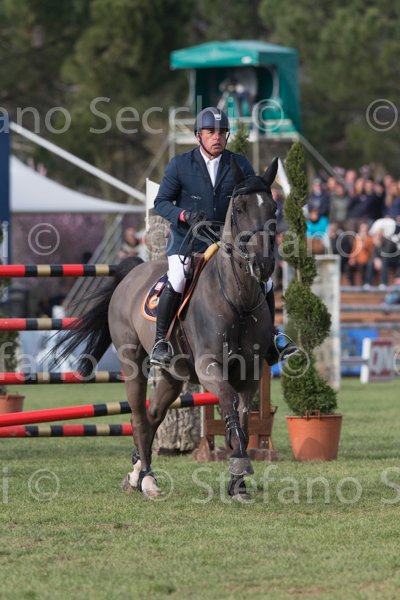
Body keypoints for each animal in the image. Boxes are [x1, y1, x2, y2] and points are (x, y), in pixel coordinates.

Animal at [55, 157, 278, 501]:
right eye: (239, 208)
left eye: (274, 207)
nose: (263, 265)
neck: (236, 298)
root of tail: (132, 274)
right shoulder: (210, 366)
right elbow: (228, 401)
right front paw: (239, 462)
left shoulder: (250, 370)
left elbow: (242, 414)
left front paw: (237, 482)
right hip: (133, 364)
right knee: (138, 417)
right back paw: (147, 479)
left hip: (174, 376)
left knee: (153, 417)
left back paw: (136, 474)